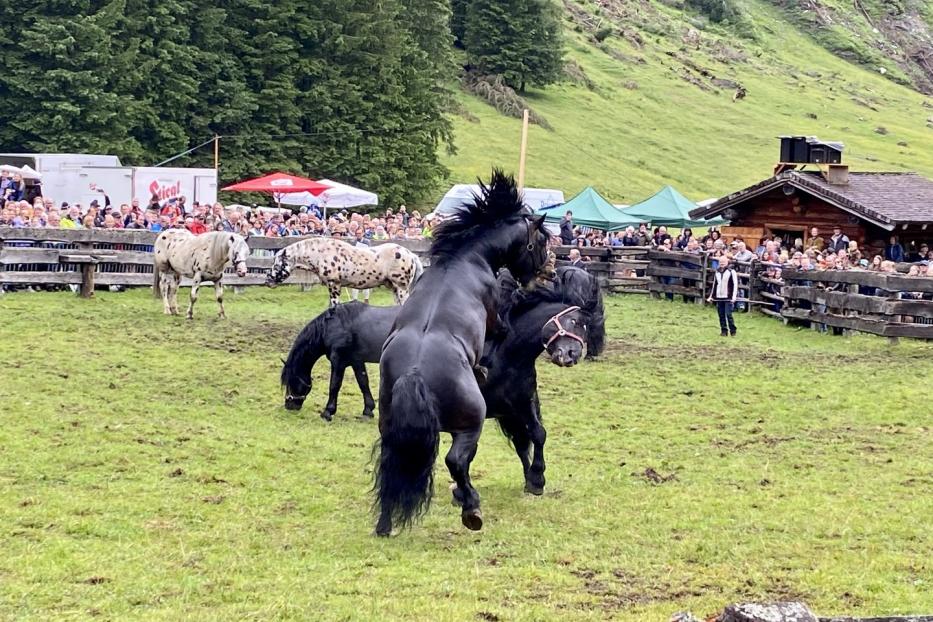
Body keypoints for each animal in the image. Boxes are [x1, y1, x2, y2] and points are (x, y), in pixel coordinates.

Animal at [264, 239, 420, 308]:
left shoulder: (334, 285)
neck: (321, 254)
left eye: (277, 264)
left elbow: (334, 305)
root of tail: (411, 254)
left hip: (401, 288)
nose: (268, 281)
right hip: (394, 288)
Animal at [372, 171, 548, 536]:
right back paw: (471, 508)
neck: (466, 258)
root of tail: (415, 374)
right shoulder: (496, 318)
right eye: (540, 242)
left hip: (391, 427)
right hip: (469, 424)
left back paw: (385, 523)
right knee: (456, 461)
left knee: (392, 464)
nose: (544, 270)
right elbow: (503, 323)